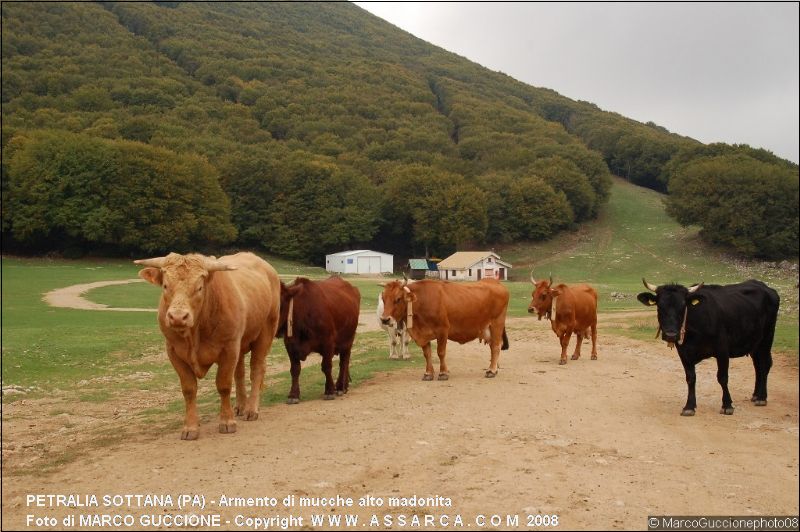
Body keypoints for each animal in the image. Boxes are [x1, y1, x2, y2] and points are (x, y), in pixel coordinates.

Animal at [134, 254, 278, 440]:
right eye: (165, 286)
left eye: (199, 287)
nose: (178, 317)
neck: (194, 335)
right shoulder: (174, 352)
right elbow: (189, 389)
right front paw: (190, 427)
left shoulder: (229, 348)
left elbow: (224, 385)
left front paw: (227, 422)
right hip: (240, 344)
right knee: (240, 373)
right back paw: (240, 406)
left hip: (265, 332)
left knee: (256, 369)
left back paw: (251, 409)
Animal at [276, 276, 360, 406]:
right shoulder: (290, 345)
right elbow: (295, 370)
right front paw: (293, 395)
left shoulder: (328, 343)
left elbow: (326, 366)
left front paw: (329, 391)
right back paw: (344, 386)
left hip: (348, 340)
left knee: (343, 363)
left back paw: (340, 387)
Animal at [640, 278, 780, 416]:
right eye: (659, 306)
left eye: (683, 306)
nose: (671, 335)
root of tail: (766, 288)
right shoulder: (684, 353)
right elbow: (690, 378)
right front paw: (689, 406)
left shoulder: (722, 350)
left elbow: (722, 377)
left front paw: (727, 405)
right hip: (754, 344)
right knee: (758, 366)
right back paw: (756, 395)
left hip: (767, 338)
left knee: (765, 364)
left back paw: (762, 397)